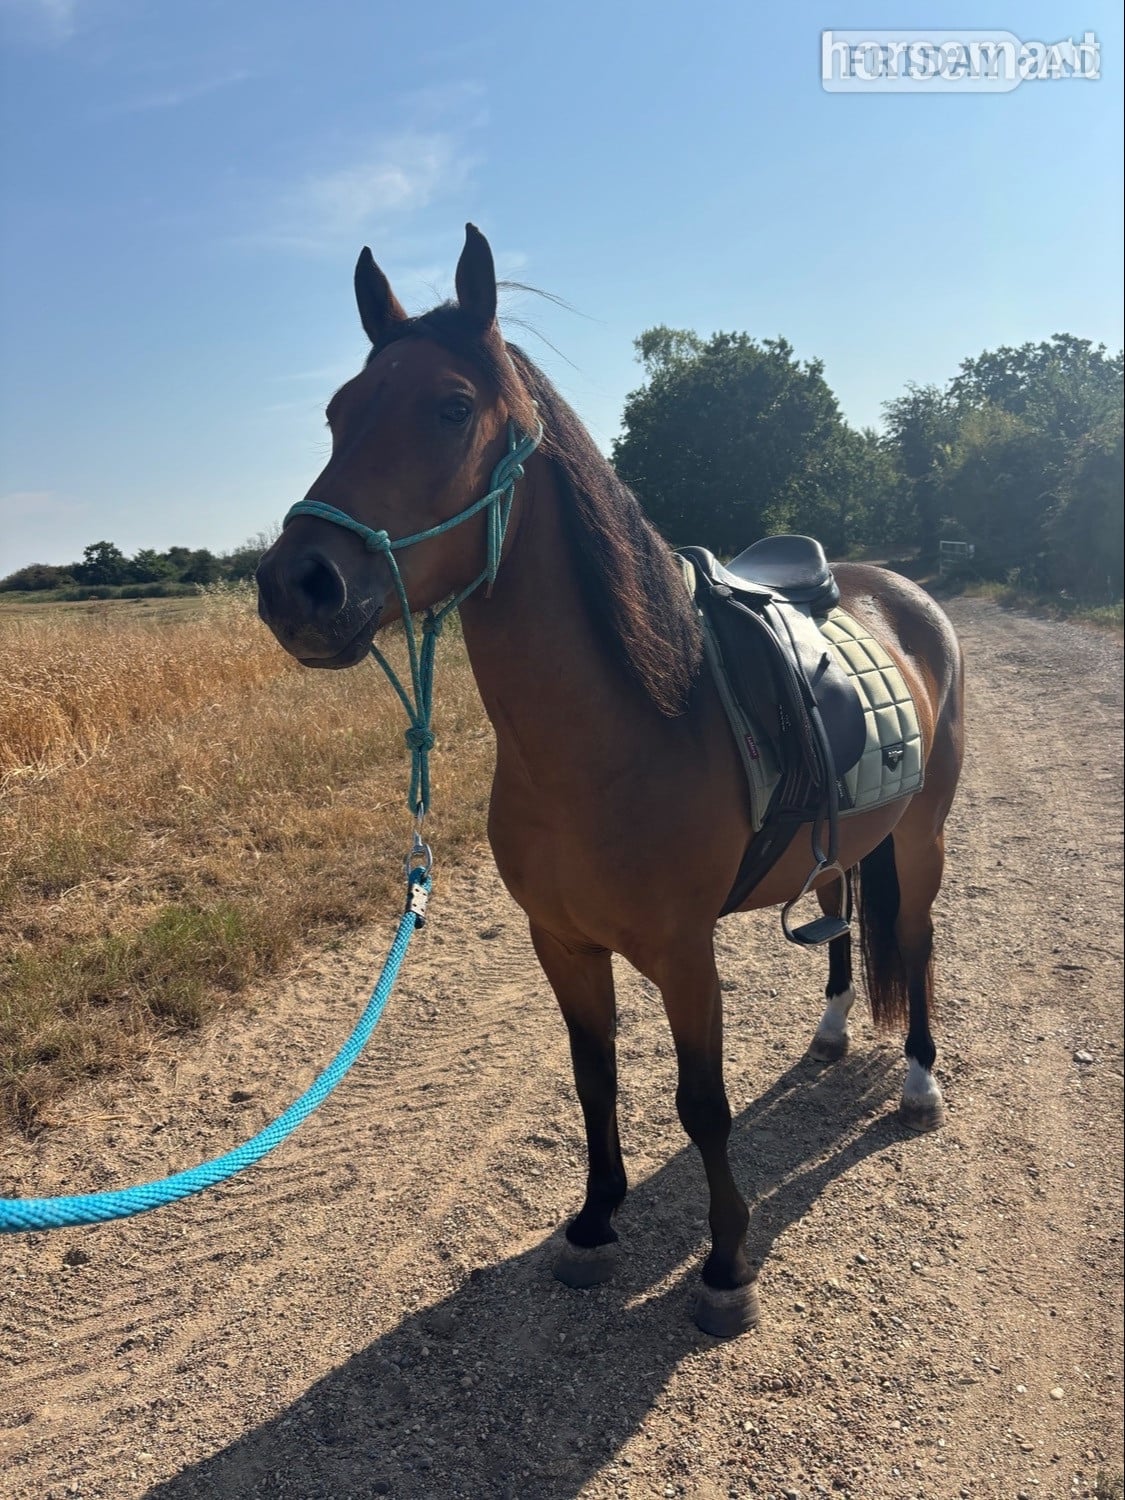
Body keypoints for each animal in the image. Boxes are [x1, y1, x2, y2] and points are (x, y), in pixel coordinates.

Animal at [256, 225, 965, 1338]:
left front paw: (725, 1265)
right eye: (336, 411)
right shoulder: (562, 943)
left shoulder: (681, 953)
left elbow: (701, 1103)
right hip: (851, 841)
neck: (611, 737)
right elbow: (594, 1082)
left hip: (923, 836)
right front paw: (593, 1222)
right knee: (846, 911)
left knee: (921, 940)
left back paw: (920, 1082)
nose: (297, 584)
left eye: (450, 407)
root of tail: (902, 591)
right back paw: (830, 1032)